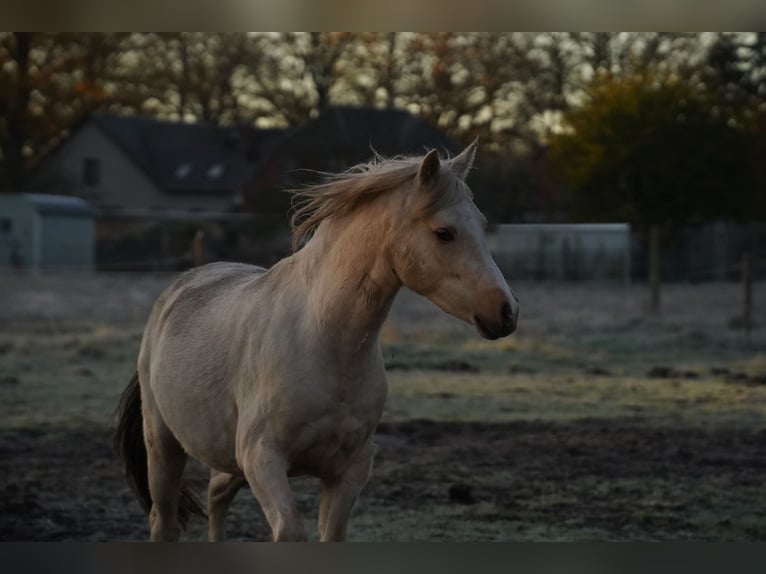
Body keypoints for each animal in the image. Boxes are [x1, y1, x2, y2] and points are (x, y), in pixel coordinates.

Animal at [114, 142, 520, 544]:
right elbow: (290, 531)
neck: (324, 341)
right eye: (444, 233)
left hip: (227, 458)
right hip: (164, 446)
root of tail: (178, 289)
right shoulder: (263, 458)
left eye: (482, 224)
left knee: (216, 496)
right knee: (164, 521)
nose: (507, 311)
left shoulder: (349, 469)